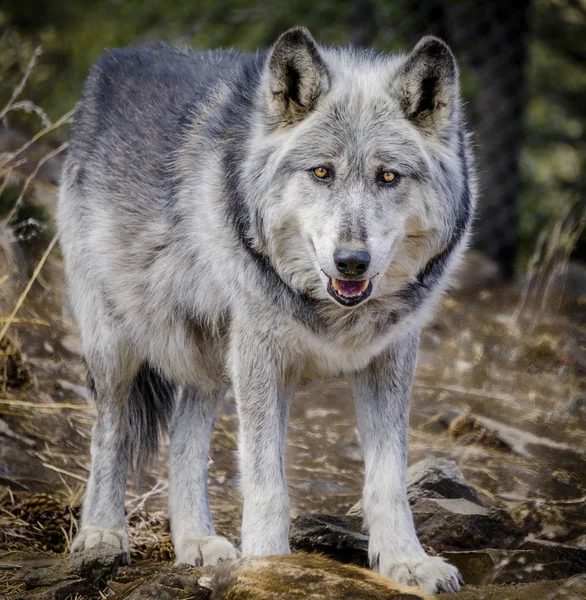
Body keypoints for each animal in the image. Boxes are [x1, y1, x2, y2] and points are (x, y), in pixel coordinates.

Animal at [57, 25, 472, 592]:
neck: (333, 314)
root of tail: (119, 56)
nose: (351, 261)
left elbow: (387, 481)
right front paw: (270, 566)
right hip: (117, 344)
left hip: (206, 355)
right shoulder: (259, 357)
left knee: (185, 444)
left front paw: (407, 562)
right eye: (322, 172)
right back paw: (101, 535)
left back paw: (197, 542)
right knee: (110, 434)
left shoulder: (391, 358)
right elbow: (265, 482)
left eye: (388, 177)